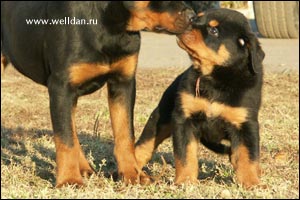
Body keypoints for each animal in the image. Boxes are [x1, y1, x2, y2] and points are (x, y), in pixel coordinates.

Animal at [0, 1, 195, 188]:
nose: (193, 16)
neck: (112, 26)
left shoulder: (123, 83)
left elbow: (125, 134)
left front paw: (133, 175)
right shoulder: (60, 87)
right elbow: (65, 139)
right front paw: (69, 180)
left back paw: (86, 168)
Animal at [135, 8, 264, 188]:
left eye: (214, 30)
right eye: (197, 18)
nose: (188, 21)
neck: (214, 80)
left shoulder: (245, 123)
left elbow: (248, 156)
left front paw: (251, 182)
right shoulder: (184, 118)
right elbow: (185, 155)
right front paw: (185, 181)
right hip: (162, 116)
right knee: (144, 145)